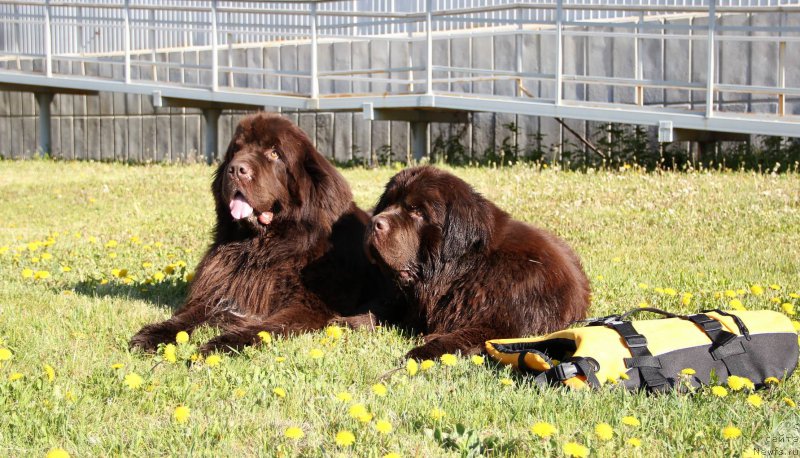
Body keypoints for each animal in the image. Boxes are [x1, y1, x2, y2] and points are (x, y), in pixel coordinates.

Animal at [130, 112, 392, 354]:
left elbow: (263, 328)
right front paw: (153, 334)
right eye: (236, 150)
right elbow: (188, 315)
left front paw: (220, 345)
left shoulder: (307, 307)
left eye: (274, 153)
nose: (237, 169)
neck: (263, 249)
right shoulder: (223, 290)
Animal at [360, 166, 592, 360]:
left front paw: (419, 351)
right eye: (388, 204)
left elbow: (462, 337)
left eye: (417, 211)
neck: (469, 269)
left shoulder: (506, 326)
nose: (375, 222)